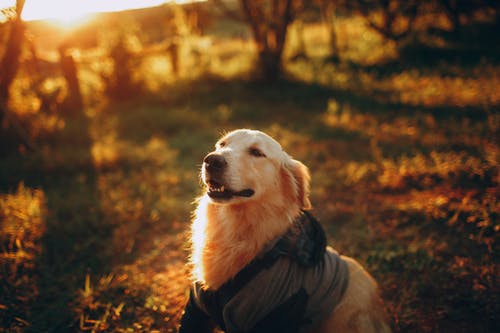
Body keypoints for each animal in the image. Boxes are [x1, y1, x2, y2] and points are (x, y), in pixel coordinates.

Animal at [179, 129, 390, 332]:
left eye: (256, 152)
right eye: (222, 145)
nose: (211, 160)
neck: (235, 228)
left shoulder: (283, 311)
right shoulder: (196, 310)